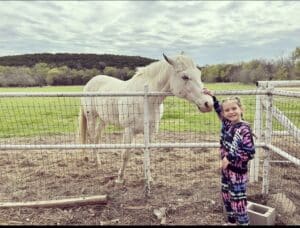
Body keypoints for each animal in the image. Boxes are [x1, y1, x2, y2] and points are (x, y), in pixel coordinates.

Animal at [78, 52, 212, 183]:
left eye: (199, 74)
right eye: (185, 77)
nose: (208, 103)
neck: (146, 99)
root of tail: (90, 82)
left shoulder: (150, 131)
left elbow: (147, 153)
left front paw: (148, 178)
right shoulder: (129, 130)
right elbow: (125, 154)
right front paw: (120, 179)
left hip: (103, 120)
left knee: (97, 138)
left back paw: (98, 162)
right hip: (91, 118)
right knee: (92, 138)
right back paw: (96, 162)